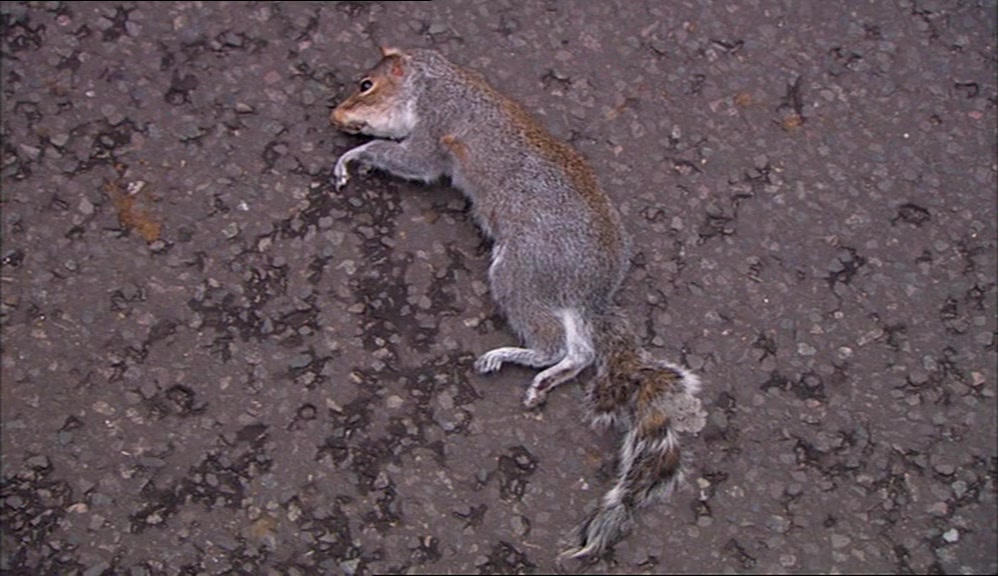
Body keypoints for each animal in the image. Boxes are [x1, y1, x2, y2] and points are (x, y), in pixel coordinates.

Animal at [330, 46, 703, 560]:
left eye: (366, 84)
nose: (336, 115)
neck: (438, 82)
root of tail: (593, 291)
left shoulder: (436, 127)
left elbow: (411, 158)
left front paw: (353, 157)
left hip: (519, 272)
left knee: (553, 343)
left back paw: (512, 358)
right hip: (549, 292)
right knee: (580, 352)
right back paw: (550, 378)